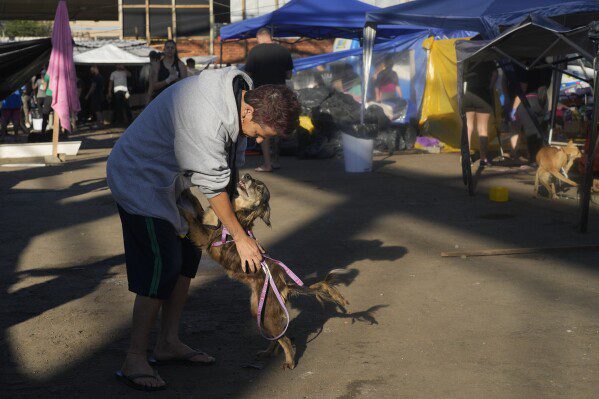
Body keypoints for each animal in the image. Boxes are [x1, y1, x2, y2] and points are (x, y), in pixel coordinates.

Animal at [179, 173, 346, 370]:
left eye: (259, 188)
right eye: (254, 180)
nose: (247, 175)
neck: (236, 212)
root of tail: (284, 284)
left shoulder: (205, 236)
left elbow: (189, 217)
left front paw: (175, 205)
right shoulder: (204, 221)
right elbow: (194, 207)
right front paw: (184, 191)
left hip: (266, 313)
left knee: (285, 340)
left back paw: (289, 362)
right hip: (258, 309)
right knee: (277, 338)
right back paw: (268, 353)